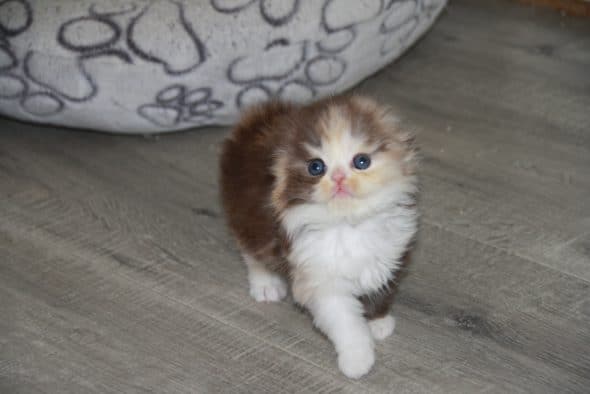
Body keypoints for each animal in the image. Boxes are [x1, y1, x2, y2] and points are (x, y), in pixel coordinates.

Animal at [220, 95, 418, 378]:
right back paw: (265, 284)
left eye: (361, 161)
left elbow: (379, 288)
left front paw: (378, 321)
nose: (338, 178)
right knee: (252, 252)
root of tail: (258, 119)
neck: (347, 224)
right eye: (316, 167)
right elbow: (344, 321)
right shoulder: (319, 277)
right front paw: (357, 360)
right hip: (245, 215)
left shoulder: (390, 254)